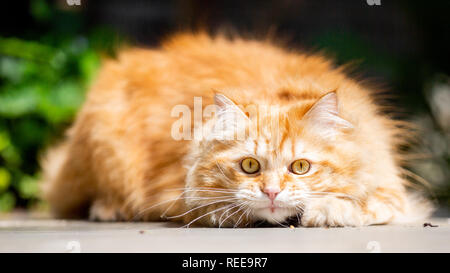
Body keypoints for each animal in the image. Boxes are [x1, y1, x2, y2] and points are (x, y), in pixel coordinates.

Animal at [40, 33, 430, 226]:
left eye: (300, 167)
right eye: (250, 166)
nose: (271, 193)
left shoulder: (390, 186)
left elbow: (369, 203)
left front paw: (326, 212)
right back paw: (110, 209)